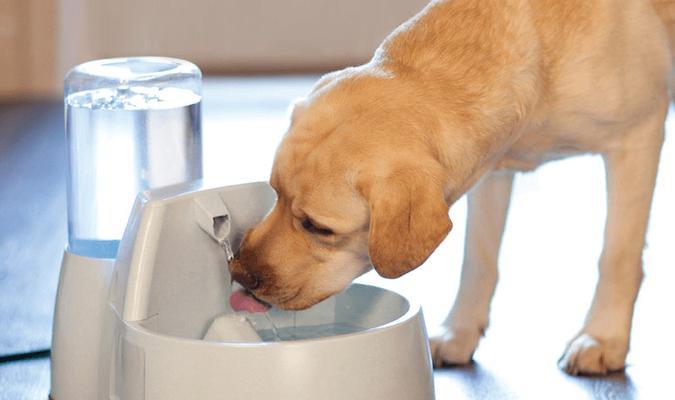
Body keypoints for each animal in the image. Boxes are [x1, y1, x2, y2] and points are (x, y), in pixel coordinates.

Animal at [230, 0, 672, 376]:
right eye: (274, 193)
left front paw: (603, 338)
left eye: (319, 228)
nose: (237, 272)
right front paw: (460, 333)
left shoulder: (637, 139)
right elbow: (478, 259)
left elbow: (616, 256)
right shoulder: (494, 170)